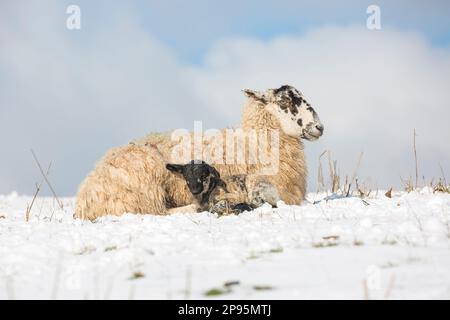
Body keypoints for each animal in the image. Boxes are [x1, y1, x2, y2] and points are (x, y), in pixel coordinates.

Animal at [75, 84, 326, 220]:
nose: (319, 127)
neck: (254, 139)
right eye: (285, 102)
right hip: (142, 190)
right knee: (155, 212)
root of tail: (86, 194)